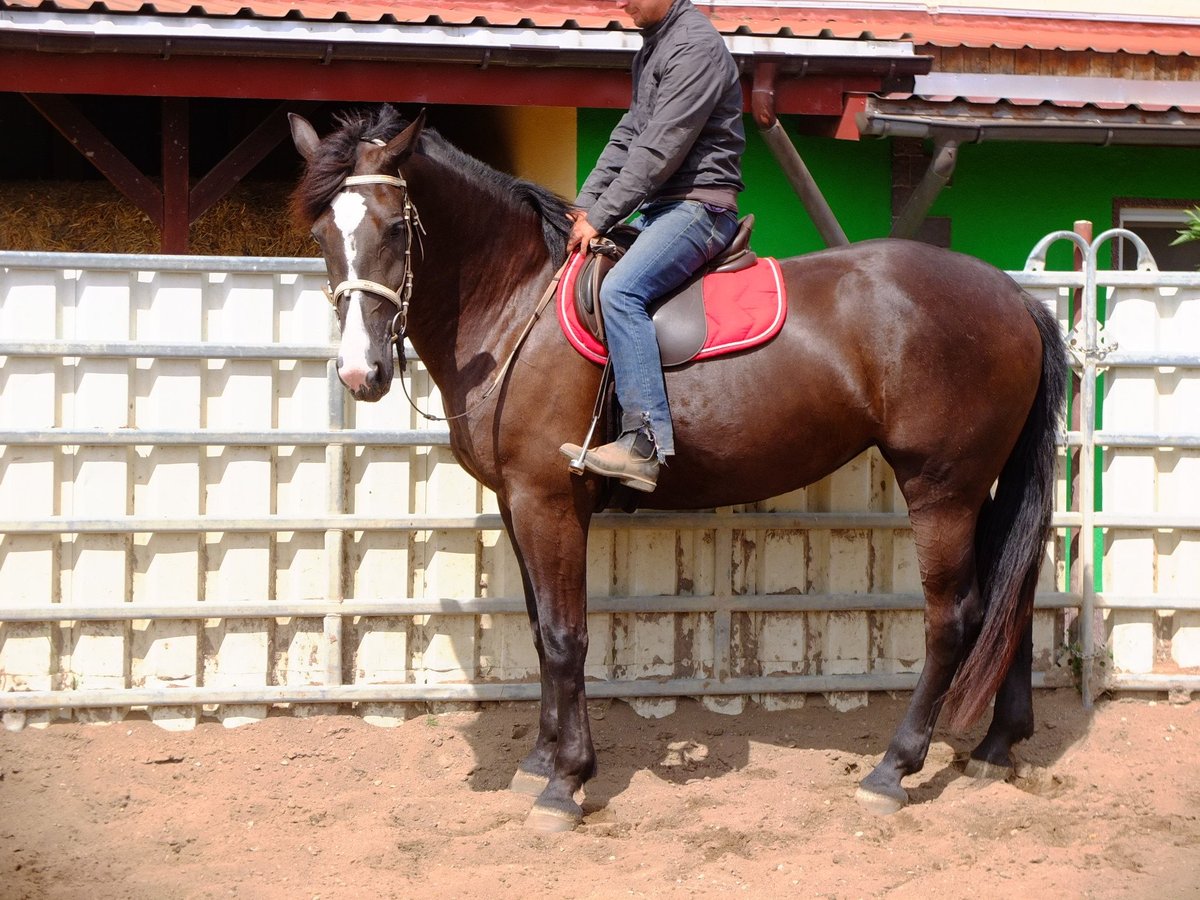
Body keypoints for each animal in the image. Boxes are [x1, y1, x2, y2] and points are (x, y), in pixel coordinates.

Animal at [288, 103, 1070, 830]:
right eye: (323, 235)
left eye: (394, 230)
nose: (361, 374)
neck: (518, 306)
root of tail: (1013, 296)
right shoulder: (517, 501)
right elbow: (542, 632)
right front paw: (540, 760)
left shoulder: (549, 500)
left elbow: (566, 637)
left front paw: (566, 780)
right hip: (982, 485)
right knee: (1015, 596)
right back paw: (997, 746)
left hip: (941, 486)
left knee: (955, 616)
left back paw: (893, 769)